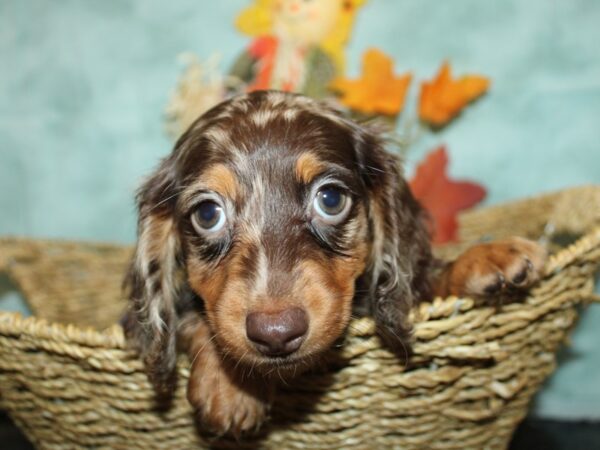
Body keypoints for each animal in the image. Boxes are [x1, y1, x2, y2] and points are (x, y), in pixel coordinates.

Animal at [124, 90, 548, 436]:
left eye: (330, 199)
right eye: (208, 213)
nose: (276, 333)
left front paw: (488, 258)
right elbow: (190, 315)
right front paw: (230, 387)